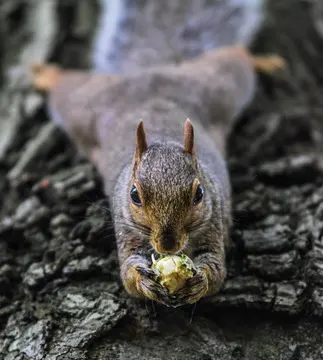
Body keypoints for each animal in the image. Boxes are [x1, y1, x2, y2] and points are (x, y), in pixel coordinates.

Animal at [29, 0, 284, 308]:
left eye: (199, 194)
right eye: (134, 195)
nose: (167, 245)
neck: (164, 135)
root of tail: (151, 71)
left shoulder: (214, 223)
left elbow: (216, 270)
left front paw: (200, 281)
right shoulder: (126, 229)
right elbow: (128, 275)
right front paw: (143, 280)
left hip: (219, 87)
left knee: (235, 57)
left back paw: (264, 61)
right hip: (85, 106)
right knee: (65, 87)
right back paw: (46, 74)